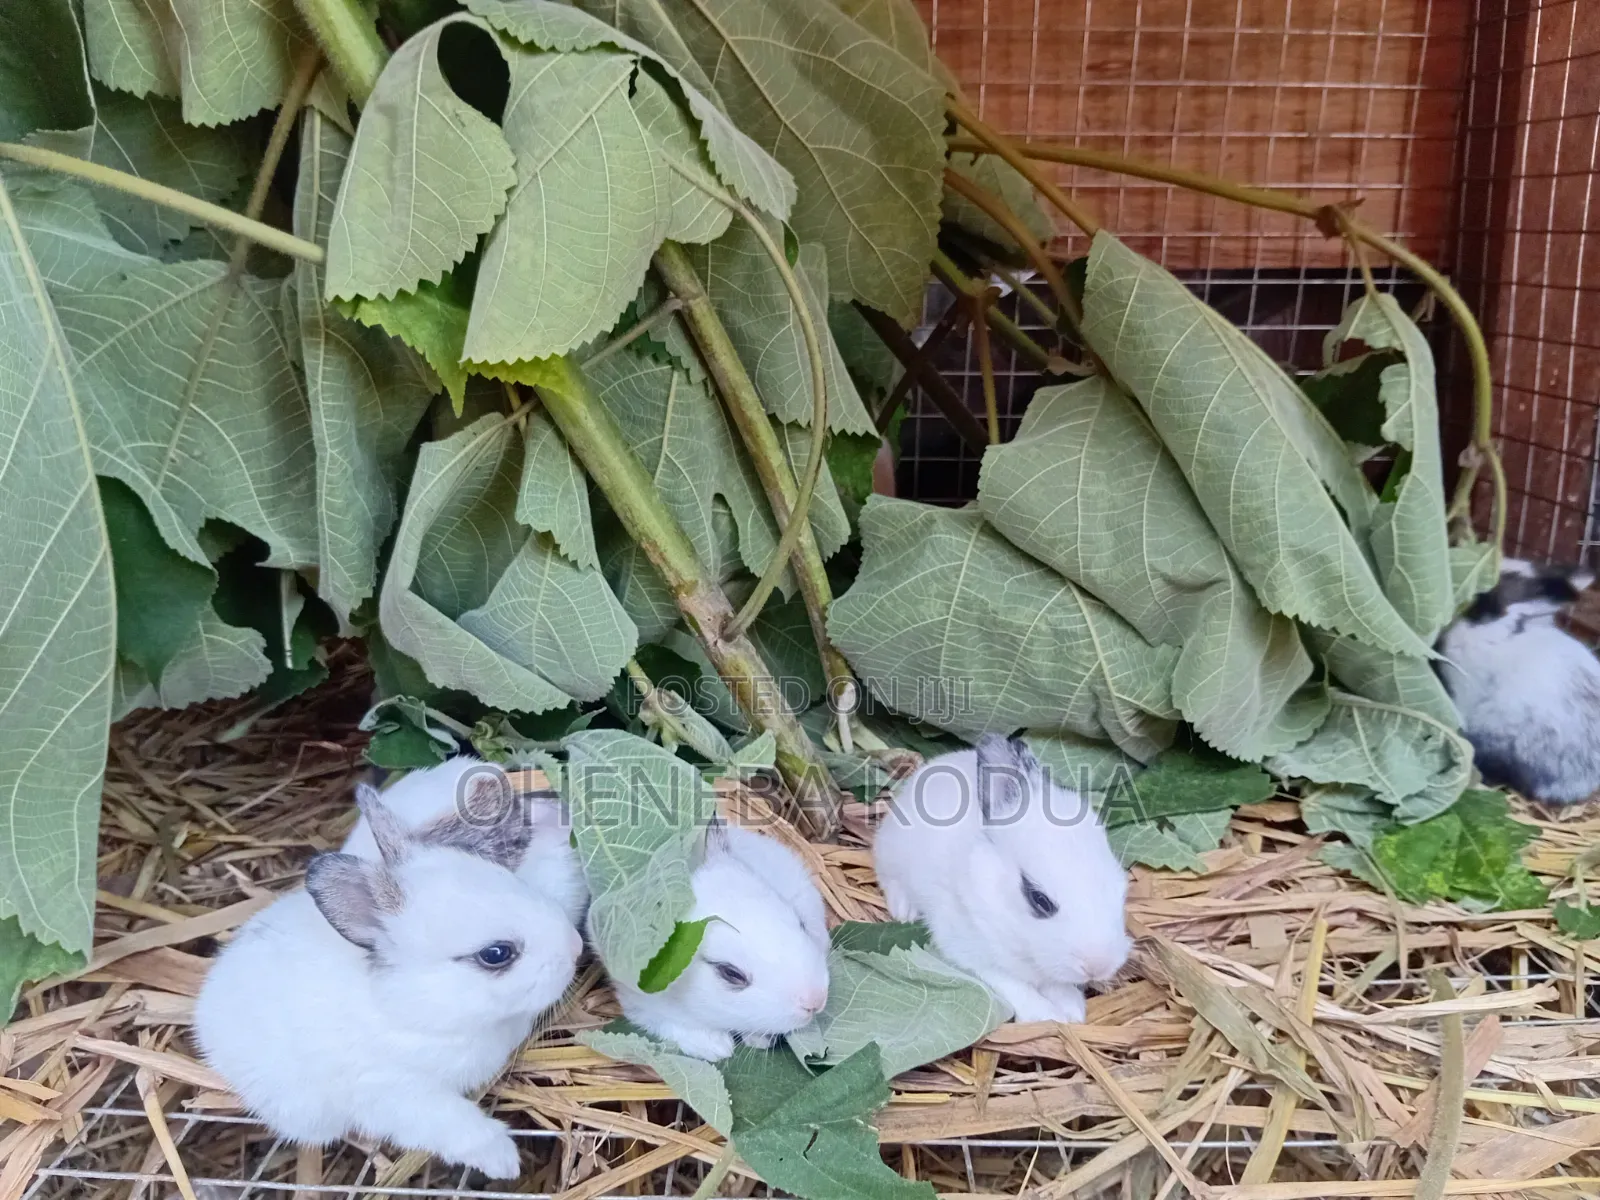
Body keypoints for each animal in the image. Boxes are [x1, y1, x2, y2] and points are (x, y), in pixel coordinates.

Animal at [193, 784, 584, 1179]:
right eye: (496, 954)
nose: (576, 946)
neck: (412, 1007)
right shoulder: (396, 1094)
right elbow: (458, 1126)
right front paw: (504, 1162)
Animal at [609, 823, 831, 1061]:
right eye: (730, 973)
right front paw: (716, 1048)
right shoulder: (641, 1002)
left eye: (800, 923)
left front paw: (757, 1040)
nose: (815, 1001)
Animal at [873, 734, 1133, 1024]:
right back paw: (904, 912)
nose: (1098, 966)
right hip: (891, 852)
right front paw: (1046, 1016)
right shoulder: (973, 952)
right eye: (1039, 899)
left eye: (1121, 891)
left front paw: (1072, 1011)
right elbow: (1015, 986)